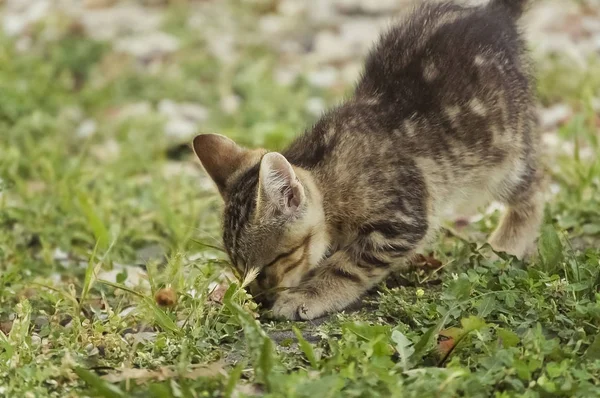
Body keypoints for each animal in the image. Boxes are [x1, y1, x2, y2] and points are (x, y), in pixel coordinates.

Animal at [191, 0, 544, 320]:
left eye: (270, 264)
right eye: (240, 269)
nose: (258, 300)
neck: (330, 182)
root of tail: (495, 10)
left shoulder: (401, 221)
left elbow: (347, 266)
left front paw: (309, 295)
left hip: (504, 155)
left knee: (535, 188)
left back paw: (507, 244)